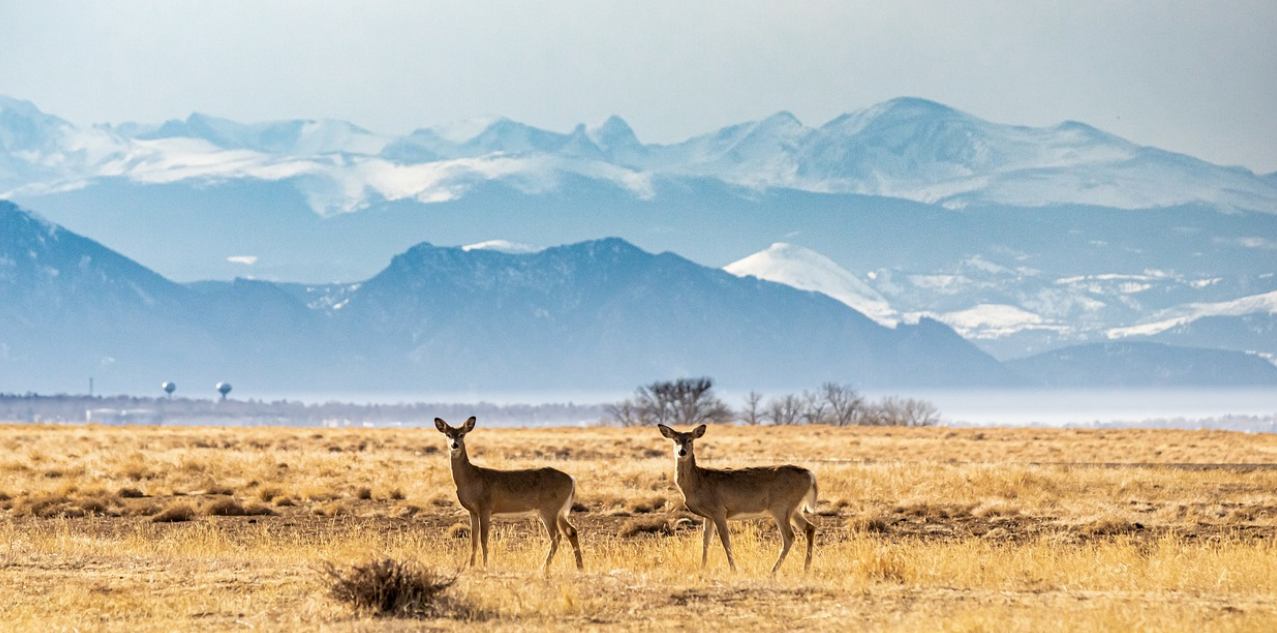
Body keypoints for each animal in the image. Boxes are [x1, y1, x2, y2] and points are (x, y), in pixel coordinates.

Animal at [434, 416, 584, 574]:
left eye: (462, 434)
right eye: (448, 434)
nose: (454, 445)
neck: (470, 479)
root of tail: (572, 480)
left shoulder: (485, 508)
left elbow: (483, 538)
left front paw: (485, 566)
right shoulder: (472, 511)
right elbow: (473, 540)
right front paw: (471, 566)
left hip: (549, 509)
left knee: (557, 536)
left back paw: (543, 568)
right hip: (559, 511)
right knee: (571, 531)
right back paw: (579, 567)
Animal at [658, 426, 817, 574]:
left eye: (690, 439)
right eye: (676, 439)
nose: (682, 452)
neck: (698, 482)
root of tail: (810, 475)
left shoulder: (719, 511)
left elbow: (725, 540)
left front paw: (733, 569)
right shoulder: (708, 516)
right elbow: (705, 541)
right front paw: (702, 568)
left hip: (780, 507)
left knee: (790, 537)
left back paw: (773, 571)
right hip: (792, 508)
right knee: (809, 528)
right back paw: (806, 568)